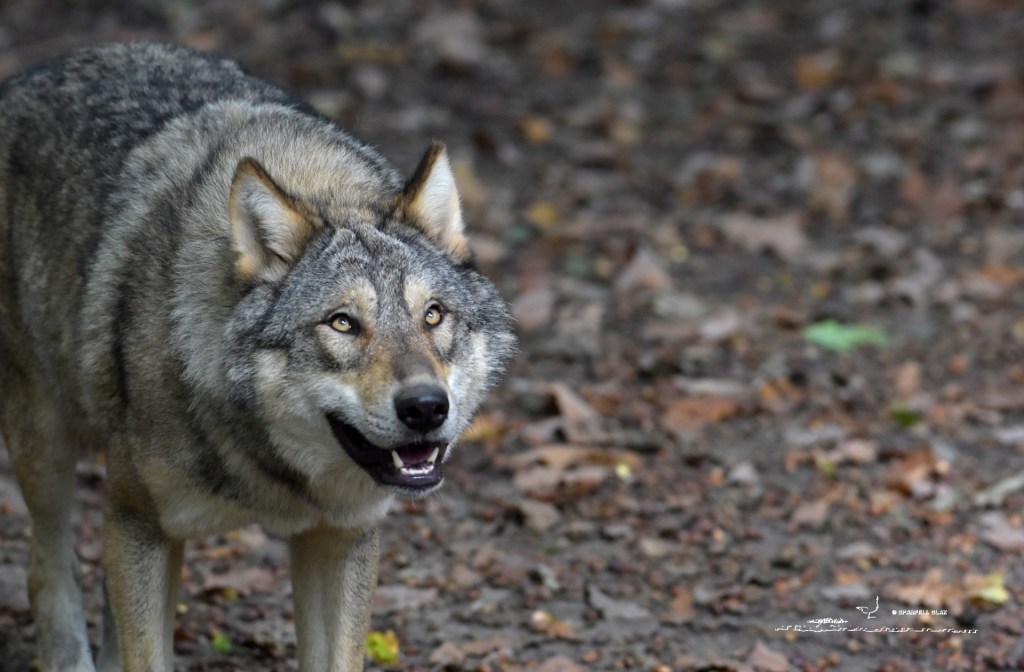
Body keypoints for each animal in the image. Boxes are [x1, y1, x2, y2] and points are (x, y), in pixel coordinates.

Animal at [0, 43, 515, 671]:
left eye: (433, 315)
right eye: (342, 323)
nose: (425, 408)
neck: (271, 476)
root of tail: (29, 74)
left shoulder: (339, 537)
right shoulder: (140, 524)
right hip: (47, 451)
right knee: (47, 568)